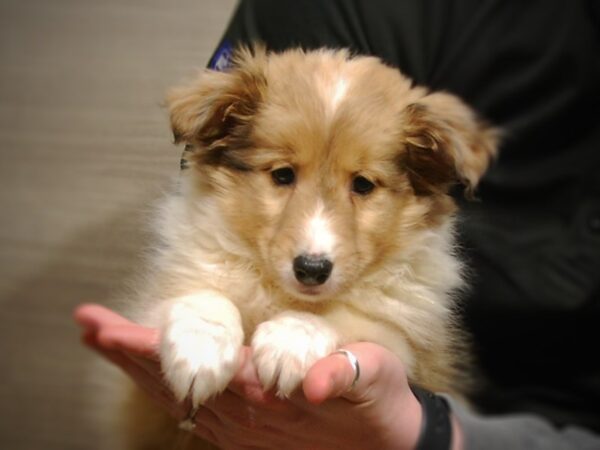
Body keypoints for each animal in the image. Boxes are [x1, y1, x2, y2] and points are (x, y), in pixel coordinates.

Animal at [122, 46, 496, 450]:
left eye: (363, 184)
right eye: (282, 174)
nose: (312, 270)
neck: (280, 293)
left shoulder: (405, 342)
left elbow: (349, 315)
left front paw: (289, 341)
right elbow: (204, 295)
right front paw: (200, 350)